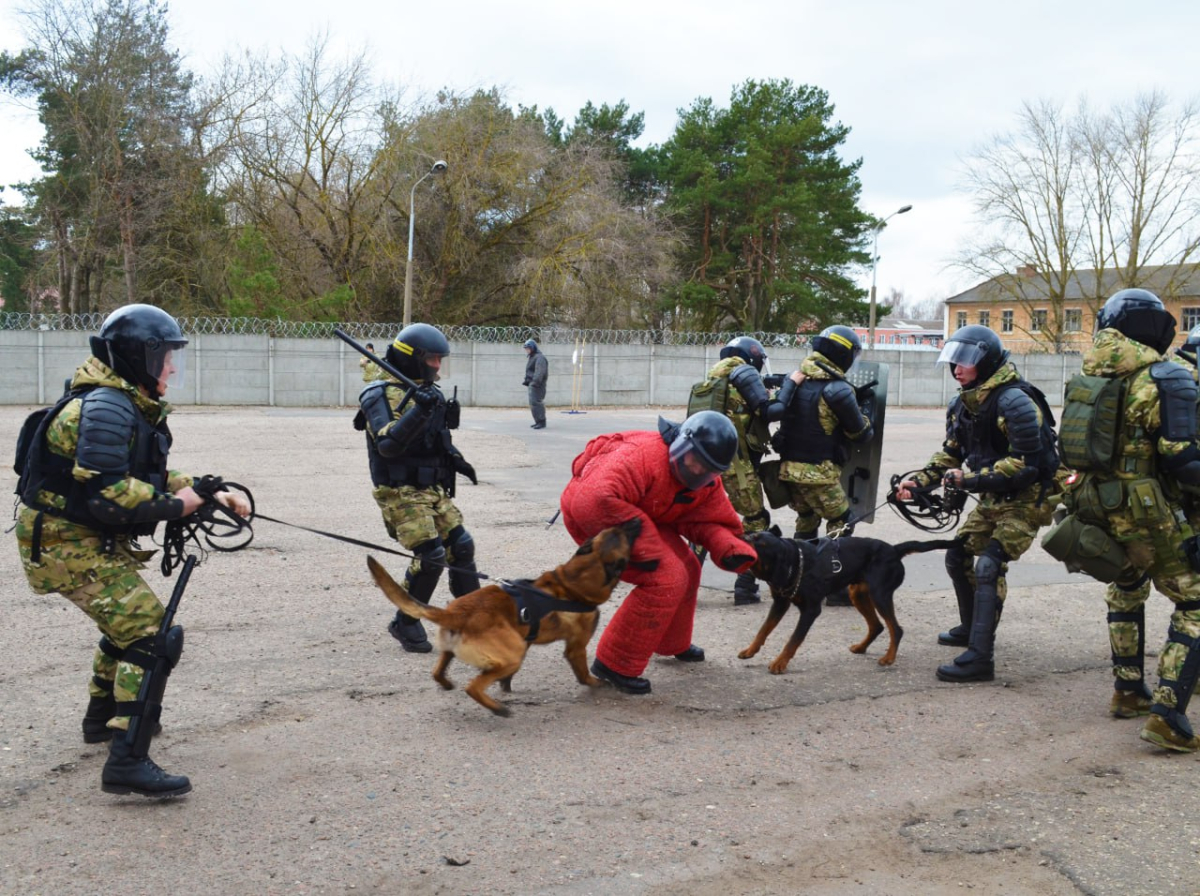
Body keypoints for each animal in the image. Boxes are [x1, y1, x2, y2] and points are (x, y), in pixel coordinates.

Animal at [367, 518, 643, 714]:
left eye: (617, 529)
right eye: (626, 536)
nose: (637, 520)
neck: (572, 584)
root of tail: (455, 613)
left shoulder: (527, 637)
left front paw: (506, 686)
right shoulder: (575, 648)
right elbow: (584, 674)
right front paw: (597, 684)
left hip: (460, 649)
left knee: (438, 671)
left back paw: (447, 684)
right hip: (513, 654)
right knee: (473, 686)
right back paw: (498, 709)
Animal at [729, 530, 955, 676]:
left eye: (756, 540)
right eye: (752, 534)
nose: (739, 534)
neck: (796, 563)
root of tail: (893, 549)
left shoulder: (811, 610)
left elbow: (793, 640)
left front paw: (779, 663)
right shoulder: (780, 602)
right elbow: (763, 629)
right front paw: (750, 650)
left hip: (880, 593)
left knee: (895, 629)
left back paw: (889, 658)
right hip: (858, 594)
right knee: (877, 626)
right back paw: (862, 647)